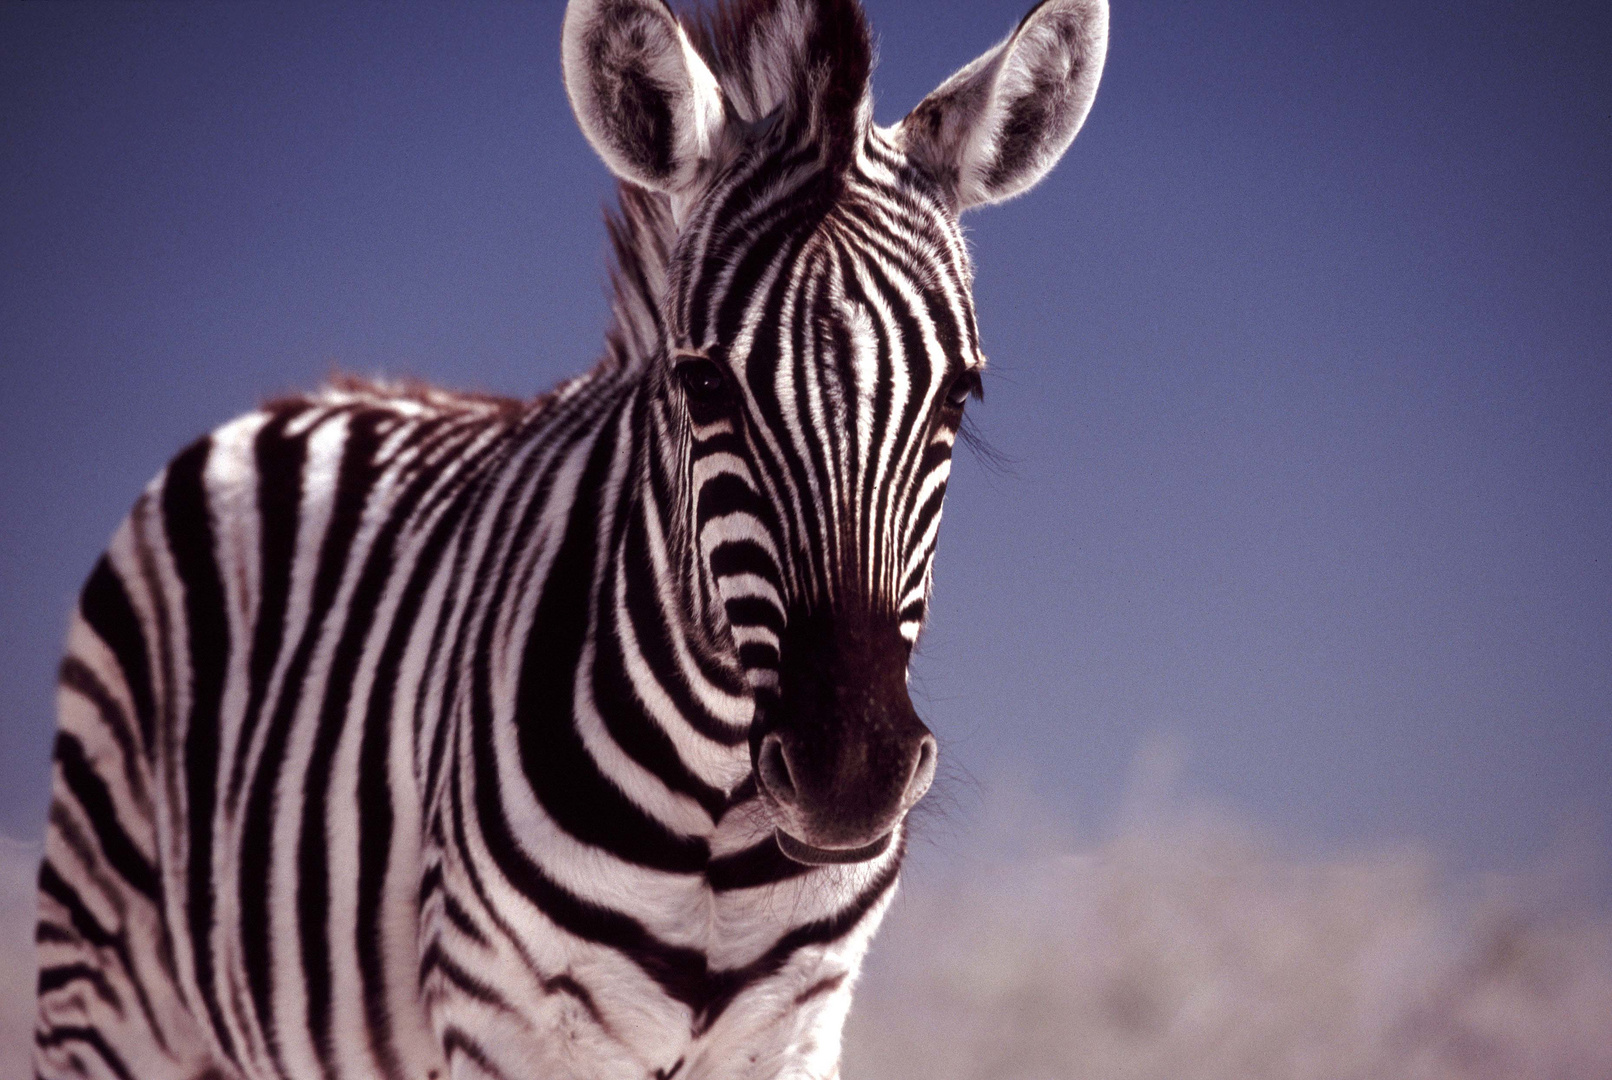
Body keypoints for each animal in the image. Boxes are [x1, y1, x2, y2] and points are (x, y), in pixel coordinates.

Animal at [37, 0, 1115, 1076]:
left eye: (960, 394)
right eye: (703, 384)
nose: (848, 776)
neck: (721, 817)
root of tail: (308, 399)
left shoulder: (799, 1028)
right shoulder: (512, 1025)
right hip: (105, 988)